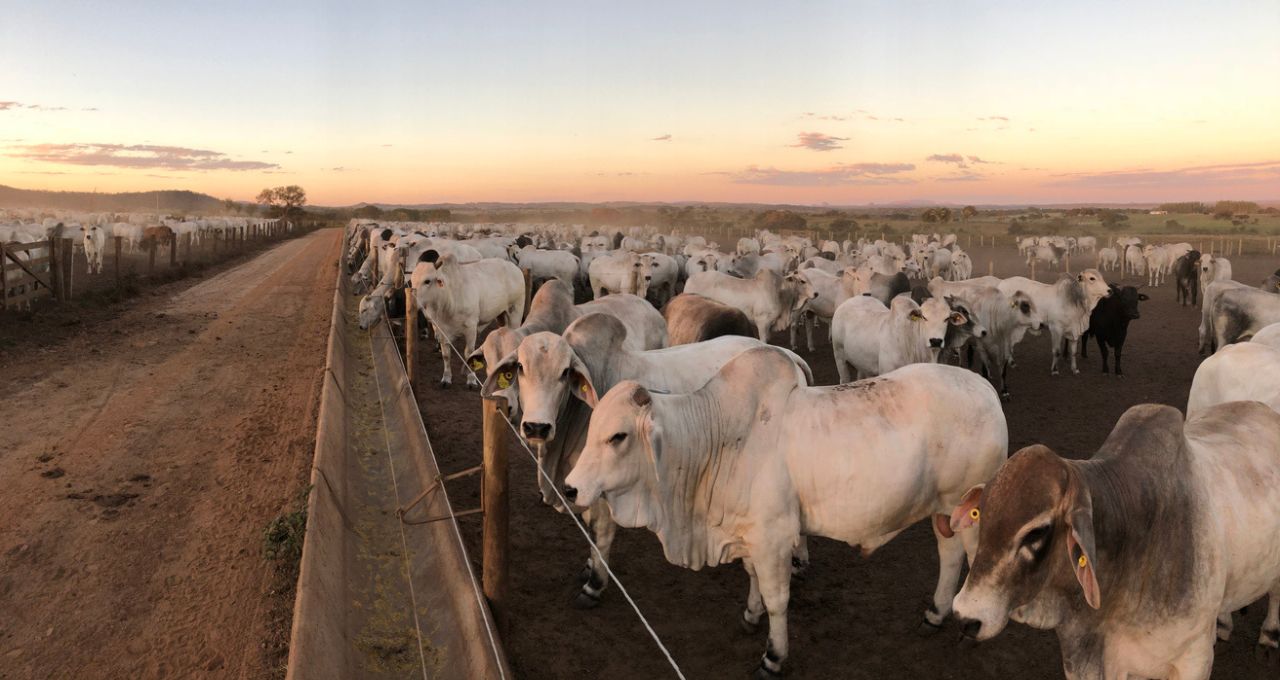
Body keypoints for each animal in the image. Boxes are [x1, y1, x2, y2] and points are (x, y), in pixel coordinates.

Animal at [570, 353, 1008, 676]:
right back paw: (935, 613)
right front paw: (750, 614)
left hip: (969, 513)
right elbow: (752, 579)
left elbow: (778, 598)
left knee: (973, 562)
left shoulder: (774, 537)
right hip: (944, 512)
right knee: (949, 557)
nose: (572, 487)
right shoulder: (748, 534)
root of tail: (984, 388)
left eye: (619, 436)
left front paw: (773, 656)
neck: (716, 441)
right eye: (591, 429)